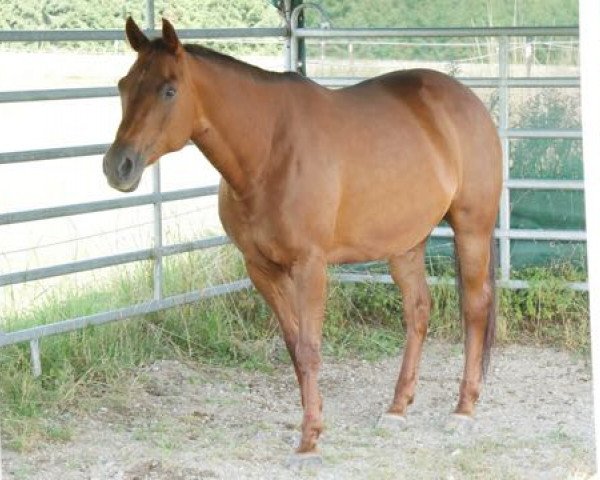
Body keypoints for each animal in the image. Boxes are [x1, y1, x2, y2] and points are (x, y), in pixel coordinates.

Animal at [102, 17, 502, 462]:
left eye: (169, 90)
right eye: (123, 85)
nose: (118, 166)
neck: (269, 151)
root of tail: (468, 101)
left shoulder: (310, 266)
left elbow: (310, 348)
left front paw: (310, 438)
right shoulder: (260, 269)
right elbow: (295, 345)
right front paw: (316, 419)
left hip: (471, 229)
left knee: (475, 309)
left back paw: (463, 409)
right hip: (405, 244)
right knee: (418, 312)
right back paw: (397, 407)